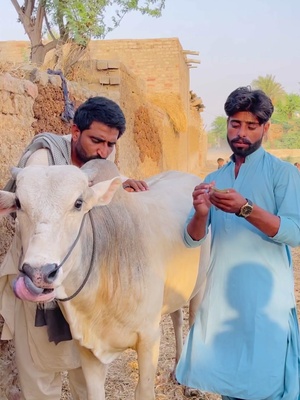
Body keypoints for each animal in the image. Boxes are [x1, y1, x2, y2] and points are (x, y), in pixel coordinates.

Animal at [0, 160, 209, 400]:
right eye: (18, 203)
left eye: (78, 203)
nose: (38, 272)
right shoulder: (86, 347)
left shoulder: (149, 339)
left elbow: (144, 390)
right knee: (177, 318)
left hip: (201, 285)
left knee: (192, 320)